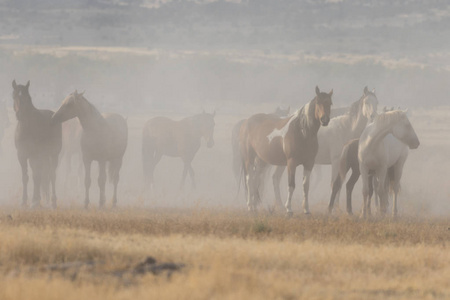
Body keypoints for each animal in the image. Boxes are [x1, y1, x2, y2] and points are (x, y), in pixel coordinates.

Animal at [12, 79, 62, 209]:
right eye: (14, 96)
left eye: (27, 97)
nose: (19, 115)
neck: (28, 128)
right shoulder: (22, 155)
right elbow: (26, 177)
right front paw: (24, 201)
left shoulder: (36, 155)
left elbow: (36, 176)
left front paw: (34, 202)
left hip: (52, 155)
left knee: (51, 175)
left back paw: (53, 202)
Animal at [241, 86, 332, 216]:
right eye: (318, 102)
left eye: (330, 103)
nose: (324, 120)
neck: (302, 131)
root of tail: (247, 122)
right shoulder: (291, 163)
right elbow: (291, 185)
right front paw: (288, 209)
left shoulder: (309, 163)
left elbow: (306, 186)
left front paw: (306, 209)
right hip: (249, 158)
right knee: (249, 180)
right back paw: (250, 206)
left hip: (261, 161)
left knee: (256, 179)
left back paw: (254, 205)